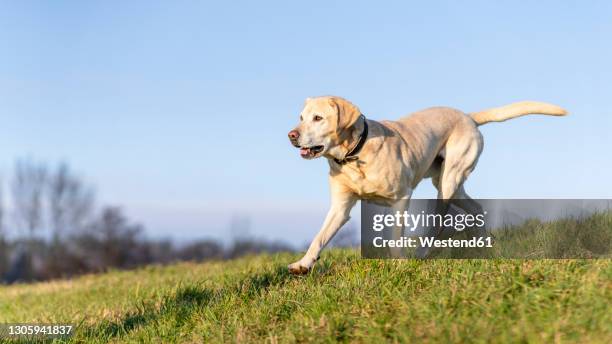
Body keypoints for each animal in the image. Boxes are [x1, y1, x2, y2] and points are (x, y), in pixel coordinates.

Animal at [286, 97, 564, 274]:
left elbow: (394, 238)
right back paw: (483, 244)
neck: (356, 154)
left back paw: (422, 253)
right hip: (449, 183)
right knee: (476, 208)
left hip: (449, 181)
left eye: (318, 118)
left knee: (439, 222)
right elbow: (319, 237)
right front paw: (304, 264)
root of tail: (468, 116)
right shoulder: (340, 208)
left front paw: (399, 264)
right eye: (301, 117)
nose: (292, 135)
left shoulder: (401, 197)